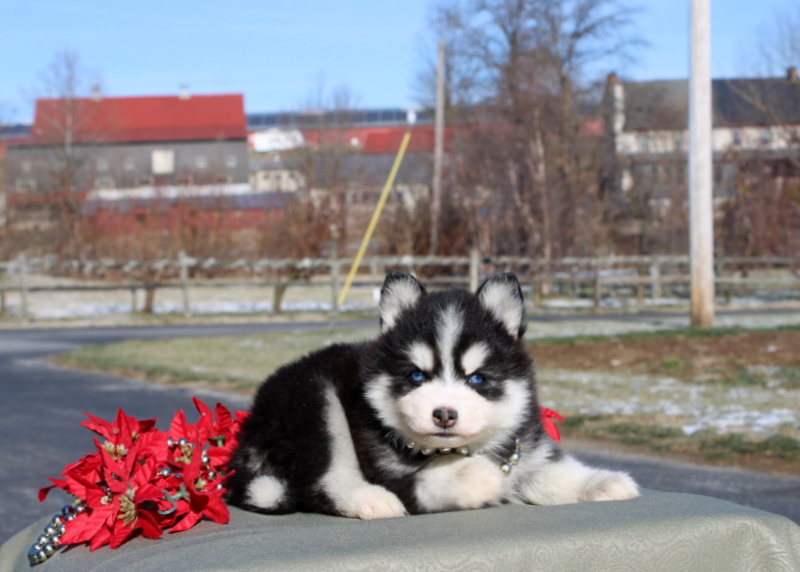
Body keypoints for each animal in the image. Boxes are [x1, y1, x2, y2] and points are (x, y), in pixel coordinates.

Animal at [228, 272, 640, 520]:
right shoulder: (382, 463)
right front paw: (471, 477)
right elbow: (426, 481)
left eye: (477, 378)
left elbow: (548, 472)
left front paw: (601, 482)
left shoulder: (524, 450)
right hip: (314, 400)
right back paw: (368, 499)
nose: (444, 414)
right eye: (416, 376)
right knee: (323, 479)